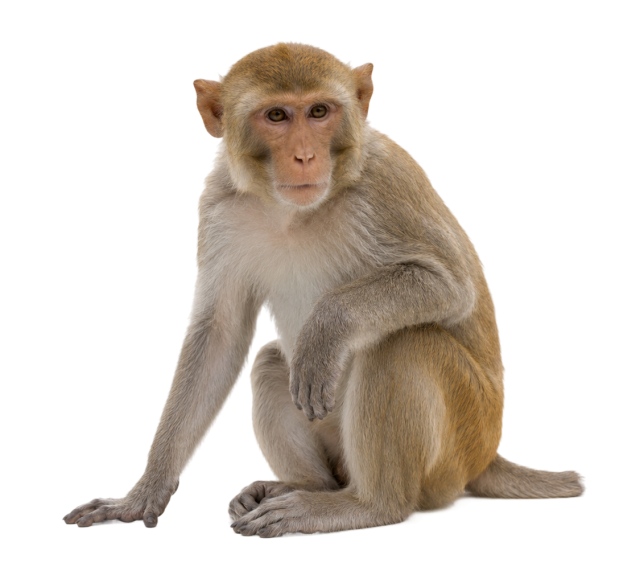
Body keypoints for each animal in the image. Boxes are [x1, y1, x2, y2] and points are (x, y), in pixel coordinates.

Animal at [62, 41, 586, 536]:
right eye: (276, 115)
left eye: (319, 112)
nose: (305, 156)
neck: (291, 211)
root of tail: (487, 455)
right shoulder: (217, 202)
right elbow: (221, 336)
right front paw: (141, 495)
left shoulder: (385, 181)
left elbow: (450, 286)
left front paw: (328, 328)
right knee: (271, 361)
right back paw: (306, 487)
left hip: (460, 444)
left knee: (402, 344)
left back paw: (366, 505)